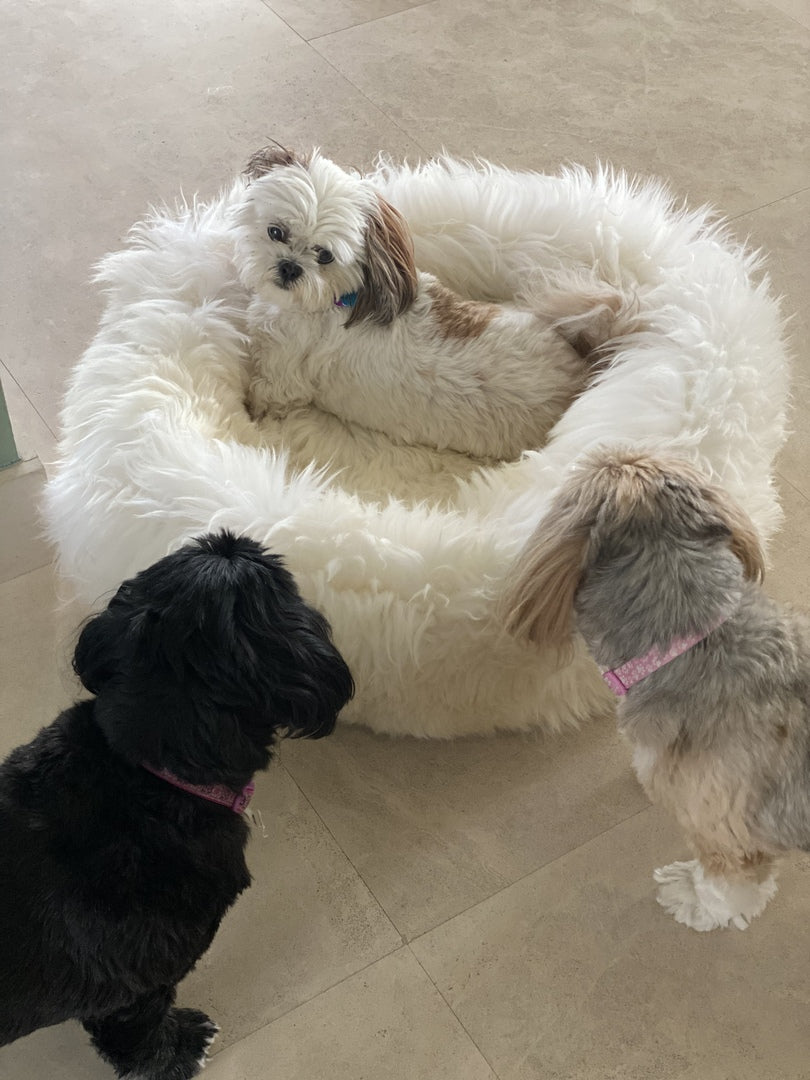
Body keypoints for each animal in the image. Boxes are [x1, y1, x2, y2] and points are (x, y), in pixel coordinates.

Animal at [0, 533, 354, 1080]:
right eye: (282, 583)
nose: (230, 538)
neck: (147, 774)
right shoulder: (132, 991)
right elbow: (142, 1036)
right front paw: (179, 1051)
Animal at [231, 147, 639, 460]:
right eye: (276, 231)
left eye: (325, 255)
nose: (289, 267)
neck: (334, 301)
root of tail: (578, 371)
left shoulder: (283, 376)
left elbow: (265, 395)